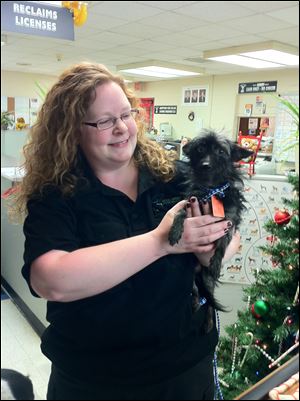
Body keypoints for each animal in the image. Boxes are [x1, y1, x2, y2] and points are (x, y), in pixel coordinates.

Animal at [169, 130, 253, 332]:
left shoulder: (229, 221)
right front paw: (175, 230)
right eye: (200, 149)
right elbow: (181, 212)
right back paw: (194, 303)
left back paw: (207, 323)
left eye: (221, 151)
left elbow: (222, 243)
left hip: (207, 279)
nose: (205, 165)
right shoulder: (191, 202)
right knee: (197, 293)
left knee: (208, 303)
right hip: (192, 276)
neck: (212, 190)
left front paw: (216, 262)